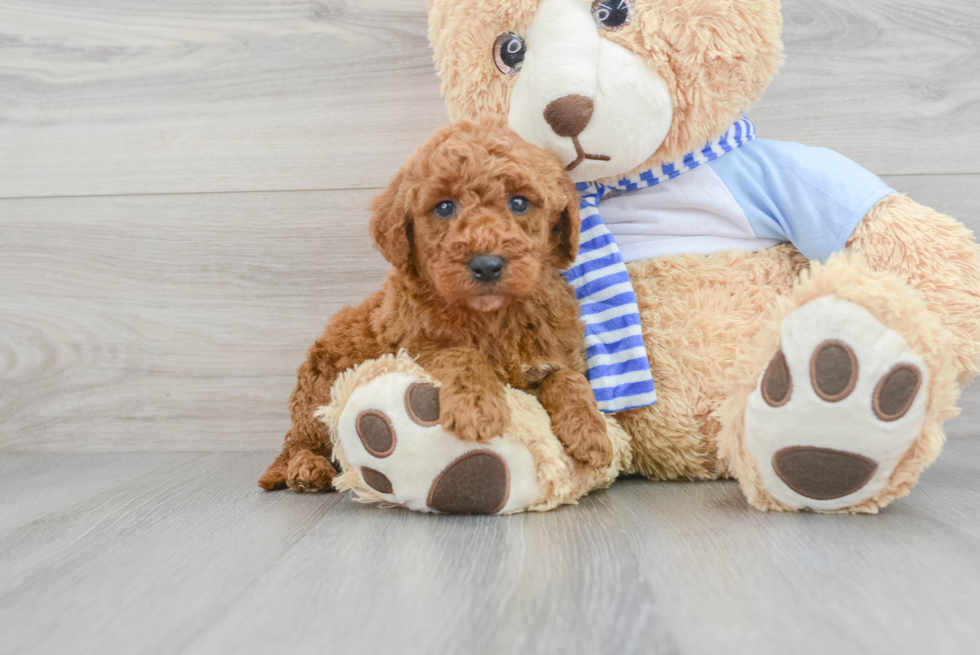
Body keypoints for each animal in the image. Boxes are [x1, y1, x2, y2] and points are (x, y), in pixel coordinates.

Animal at [260, 116, 612, 492]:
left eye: (519, 203)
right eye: (444, 207)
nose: (487, 265)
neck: (494, 315)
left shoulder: (556, 350)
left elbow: (568, 378)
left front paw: (591, 431)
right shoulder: (409, 346)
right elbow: (461, 354)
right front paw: (478, 409)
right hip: (318, 388)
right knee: (301, 440)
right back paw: (307, 469)